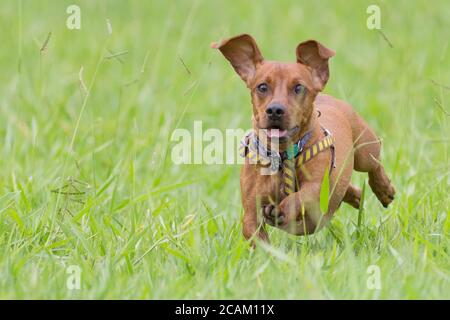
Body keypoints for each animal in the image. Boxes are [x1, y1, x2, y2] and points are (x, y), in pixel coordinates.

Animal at [213, 34, 396, 242]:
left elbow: (299, 197)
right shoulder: (252, 217)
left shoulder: (316, 187)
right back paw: (355, 195)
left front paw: (282, 211)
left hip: (365, 149)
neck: (282, 158)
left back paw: (384, 189)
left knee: (374, 164)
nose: (275, 110)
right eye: (262, 87)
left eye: (299, 87)